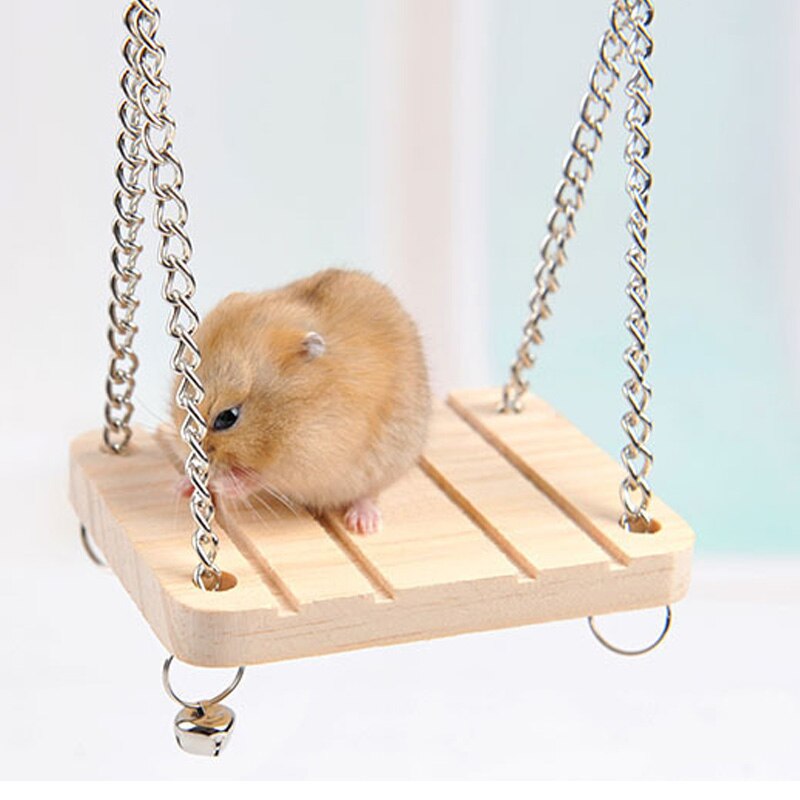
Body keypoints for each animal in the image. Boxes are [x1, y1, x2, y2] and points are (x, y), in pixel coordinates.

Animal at [171, 268, 431, 534]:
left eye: (227, 417)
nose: (187, 452)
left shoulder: (312, 455)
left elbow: (260, 477)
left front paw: (224, 486)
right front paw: (184, 483)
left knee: (369, 493)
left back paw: (363, 524)